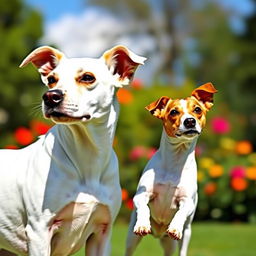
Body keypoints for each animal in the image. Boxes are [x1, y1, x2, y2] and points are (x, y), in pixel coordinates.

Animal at [0, 45, 145, 255]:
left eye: (87, 77)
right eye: (51, 79)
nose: (50, 96)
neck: (86, 157)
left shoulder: (103, 233)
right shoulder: (39, 232)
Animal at [125, 83, 217, 255]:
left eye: (197, 109)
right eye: (174, 112)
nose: (190, 121)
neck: (175, 160)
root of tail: (158, 234)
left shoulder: (187, 201)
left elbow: (181, 212)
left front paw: (175, 227)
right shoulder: (142, 195)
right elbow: (143, 207)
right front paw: (143, 224)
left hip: (183, 237)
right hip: (131, 239)